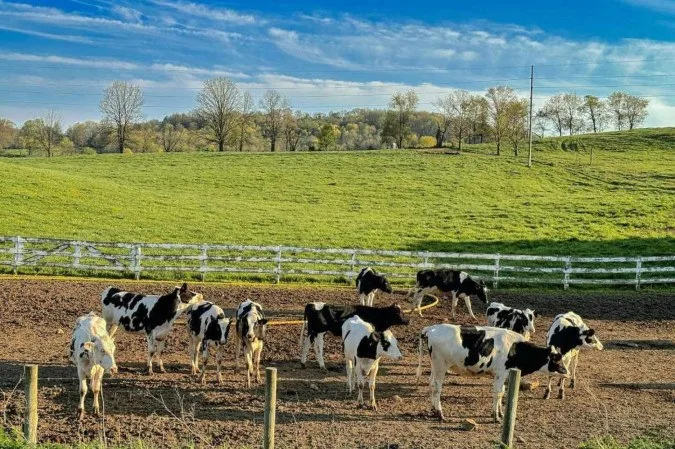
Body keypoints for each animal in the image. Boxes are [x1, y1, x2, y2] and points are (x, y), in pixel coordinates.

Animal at [414, 322, 568, 420]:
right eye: (557, 360)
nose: (567, 372)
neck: (516, 348)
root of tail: (431, 328)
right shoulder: (500, 373)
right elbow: (498, 393)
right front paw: (495, 416)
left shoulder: (504, 375)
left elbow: (502, 392)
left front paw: (500, 413)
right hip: (440, 365)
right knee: (436, 387)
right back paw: (440, 413)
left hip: (435, 366)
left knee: (430, 384)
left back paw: (433, 409)